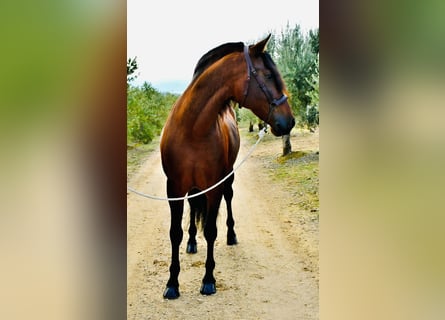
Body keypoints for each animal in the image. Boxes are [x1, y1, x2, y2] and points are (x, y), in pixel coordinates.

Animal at [160, 33, 294, 298]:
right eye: (268, 75)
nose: (290, 121)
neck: (192, 130)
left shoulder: (214, 187)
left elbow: (211, 230)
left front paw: (208, 280)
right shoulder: (174, 189)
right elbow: (175, 233)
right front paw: (172, 283)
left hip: (228, 177)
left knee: (229, 200)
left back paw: (231, 235)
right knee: (193, 209)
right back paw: (192, 242)